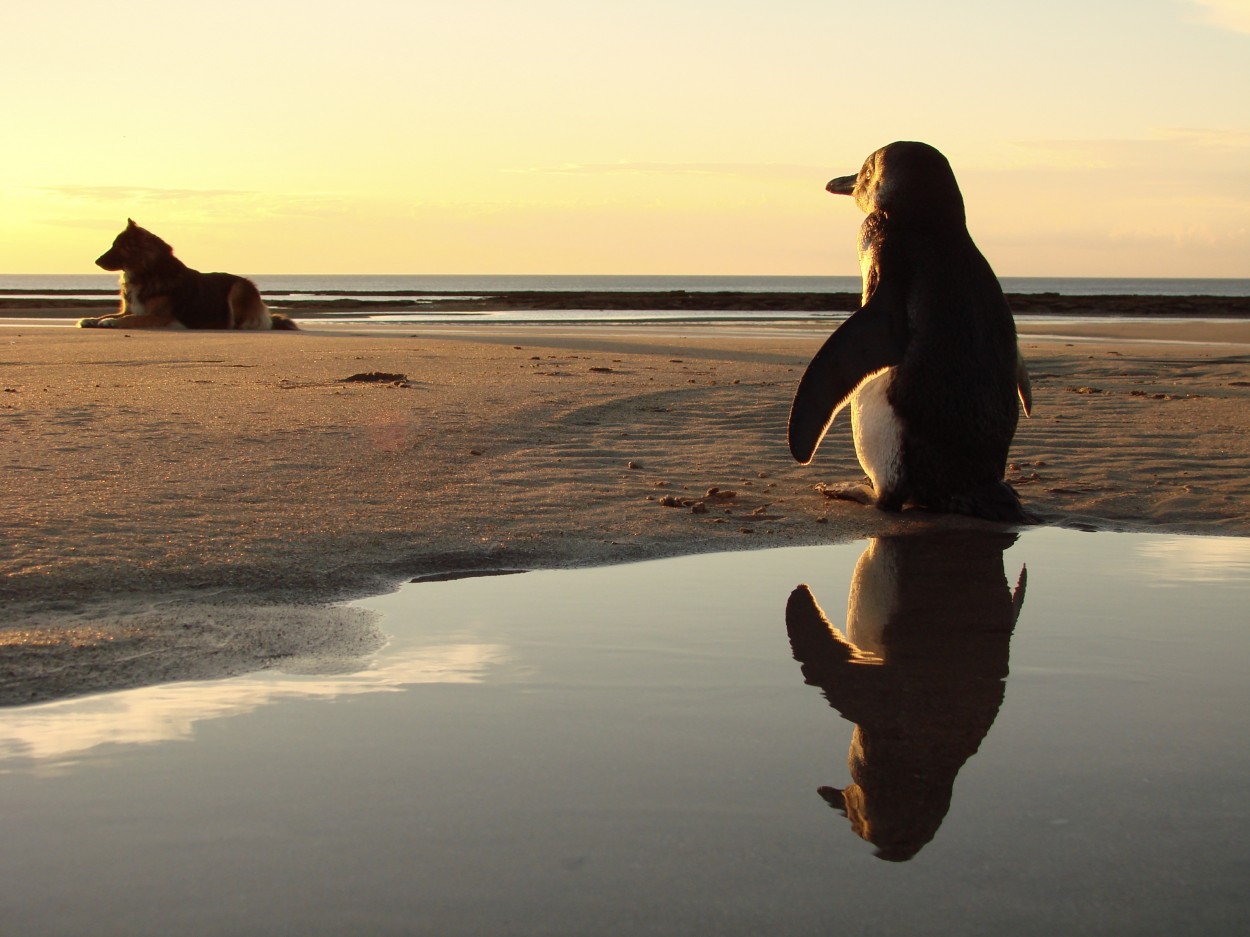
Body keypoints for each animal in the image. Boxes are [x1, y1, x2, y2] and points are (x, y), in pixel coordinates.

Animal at [78, 222, 297, 332]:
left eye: (116, 246)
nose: (96, 261)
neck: (147, 273)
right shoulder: (129, 309)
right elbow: (112, 314)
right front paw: (92, 319)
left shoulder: (161, 316)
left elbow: (132, 319)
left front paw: (111, 323)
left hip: (239, 288)